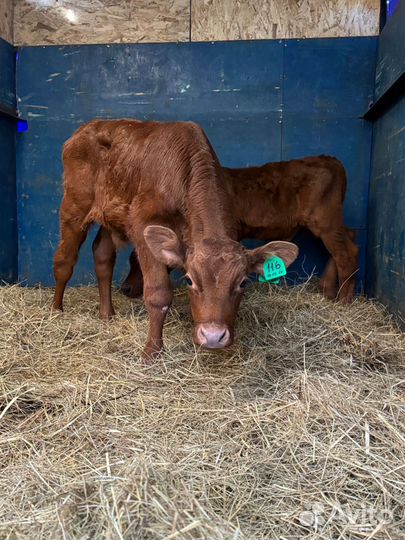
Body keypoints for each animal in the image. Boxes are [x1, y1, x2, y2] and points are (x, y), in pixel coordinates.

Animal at [51, 120, 296, 360]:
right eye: (189, 280)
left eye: (243, 282)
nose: (213, 336)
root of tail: (87, 127)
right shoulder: (143, 225)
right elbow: (158, 293)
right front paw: (152, 352)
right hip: (74, 206)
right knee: (64, 260)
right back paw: (56, 310)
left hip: (111, 214)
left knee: (103, 256)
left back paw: (106, 315)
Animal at [119, 156, 356, 302]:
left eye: (139, 264)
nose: (125, 289)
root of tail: (330, 160)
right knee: (347, 241)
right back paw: (327, 289)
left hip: (326, 221)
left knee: (347, 252)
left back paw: (344, 300)